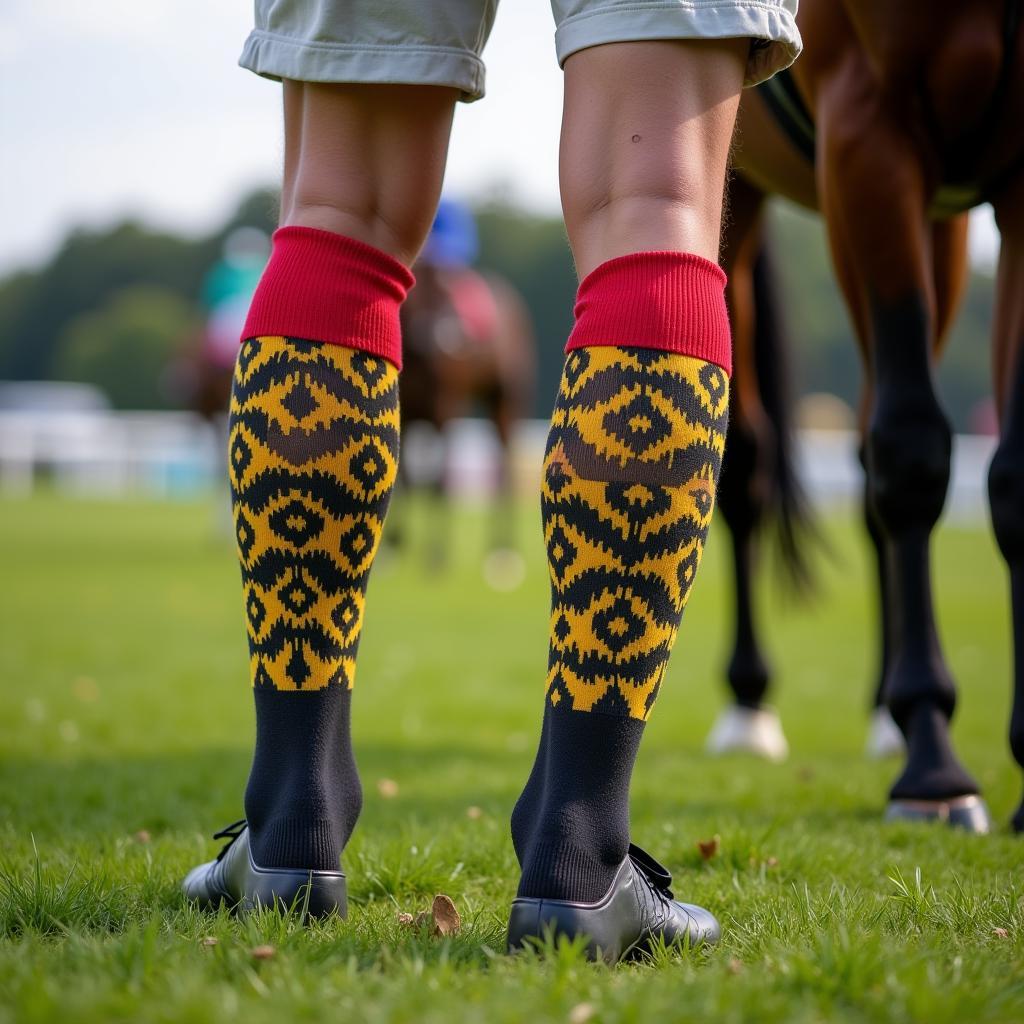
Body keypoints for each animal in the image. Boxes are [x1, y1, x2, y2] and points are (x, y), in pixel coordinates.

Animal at [720, 0, 1024, 831]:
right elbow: (912, 452)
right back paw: (749, 705)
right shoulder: (870, 132)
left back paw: (885, 713)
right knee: (745, 465)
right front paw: (935, 770)